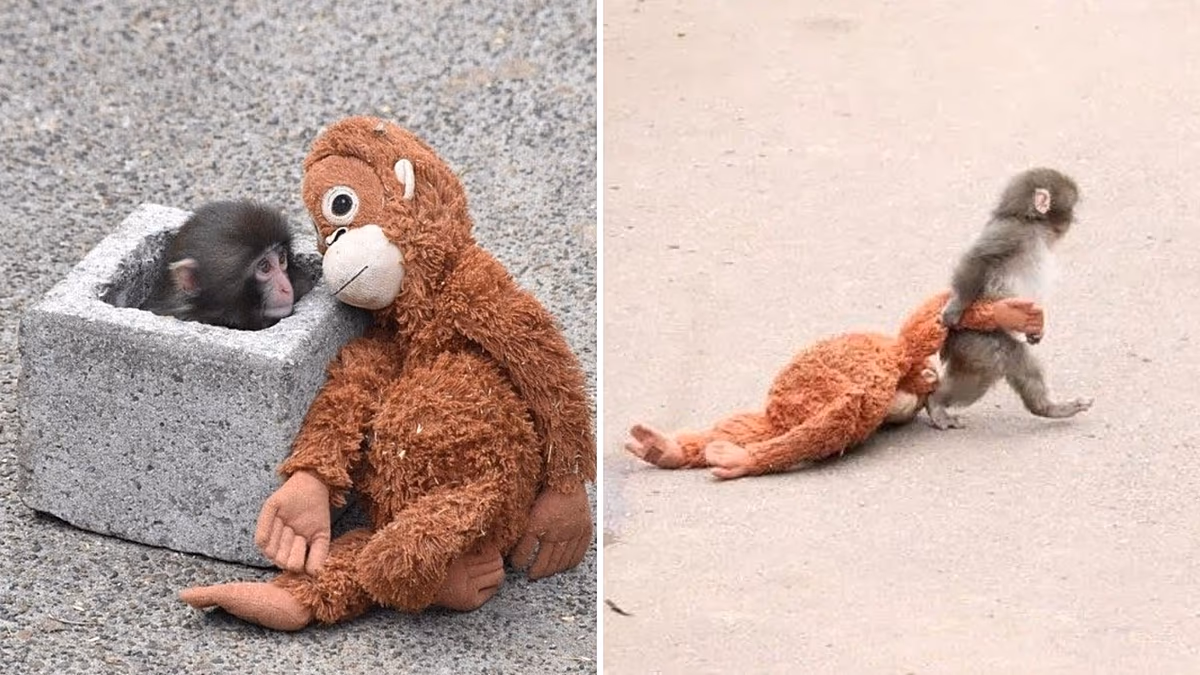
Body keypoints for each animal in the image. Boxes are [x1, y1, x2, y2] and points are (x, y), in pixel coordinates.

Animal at [925, 168, 1093, 429]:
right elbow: (978, 258)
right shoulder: (1011, 233)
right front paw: (955, 307)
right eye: (1072, 207)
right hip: (976, 339)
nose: (1074, 220)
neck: (1030, 223)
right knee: (1002, 361)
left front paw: (1036, 331)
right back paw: (936, 403)